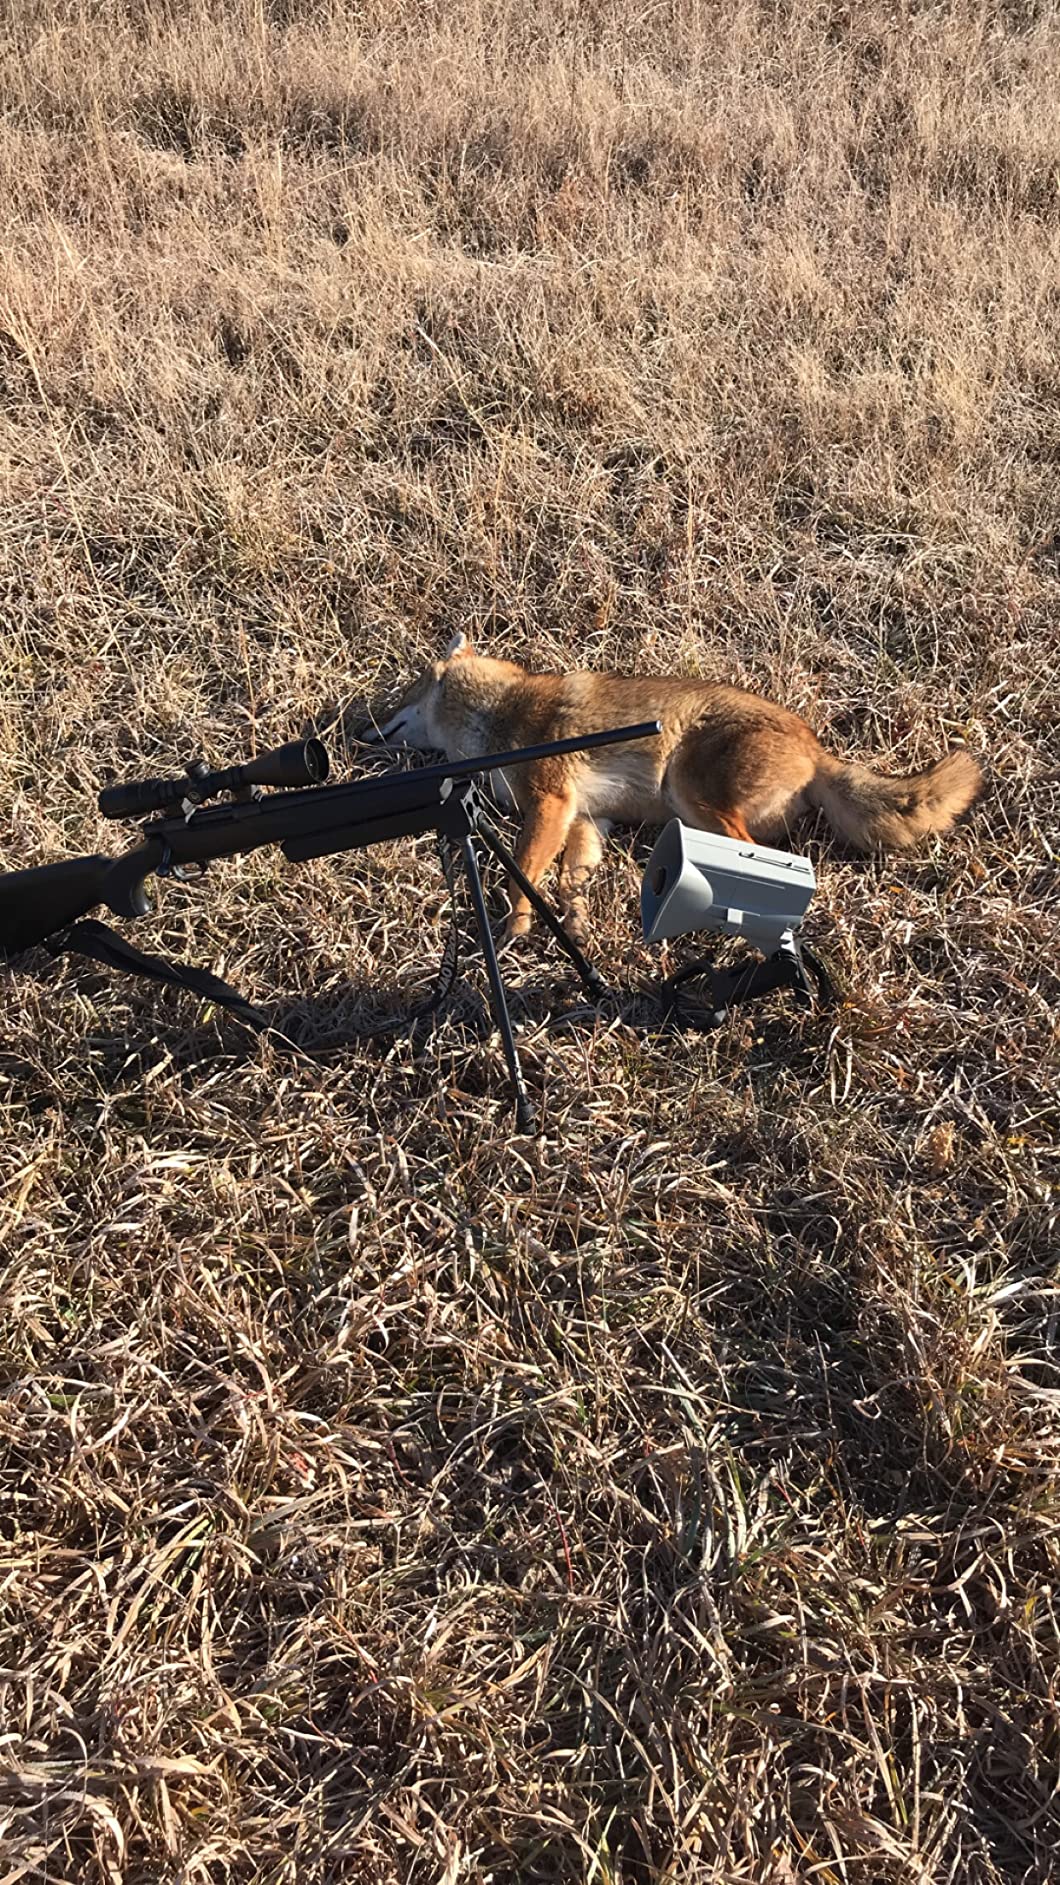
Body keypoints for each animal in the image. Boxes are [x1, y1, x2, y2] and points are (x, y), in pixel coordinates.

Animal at [368, 635, 983, 943]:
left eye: (406, 690)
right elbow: (569, 882)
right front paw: (576, 925)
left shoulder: (551, 802)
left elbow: (524, 874)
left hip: (689, 794)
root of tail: (817, 752)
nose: (359, 728)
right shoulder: (586, 819)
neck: (498, 713)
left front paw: (515, 926)